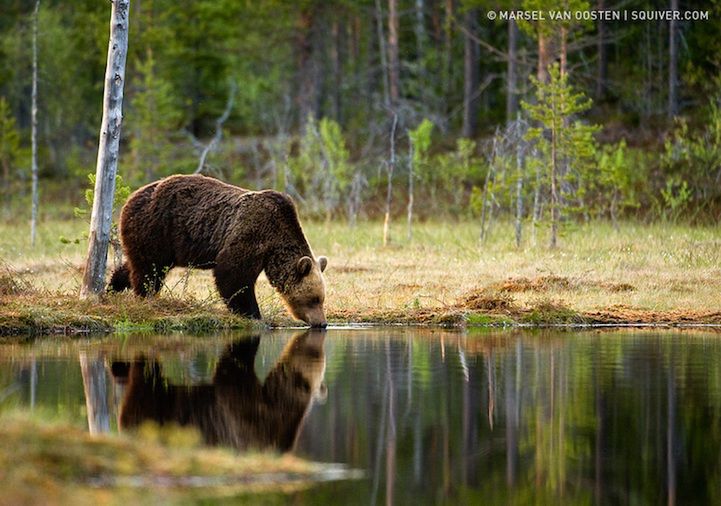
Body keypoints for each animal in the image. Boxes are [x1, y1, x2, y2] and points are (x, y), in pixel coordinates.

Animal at [108, 172, 328, 326]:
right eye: (314, 299)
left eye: (322, 298)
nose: (322, 323)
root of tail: (131, 196)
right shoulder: (251, 234)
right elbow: (233, 275)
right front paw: (252, 313)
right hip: (156, 227)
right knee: (148, 270)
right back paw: (145, 297)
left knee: (137, 265)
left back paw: (113, 286)